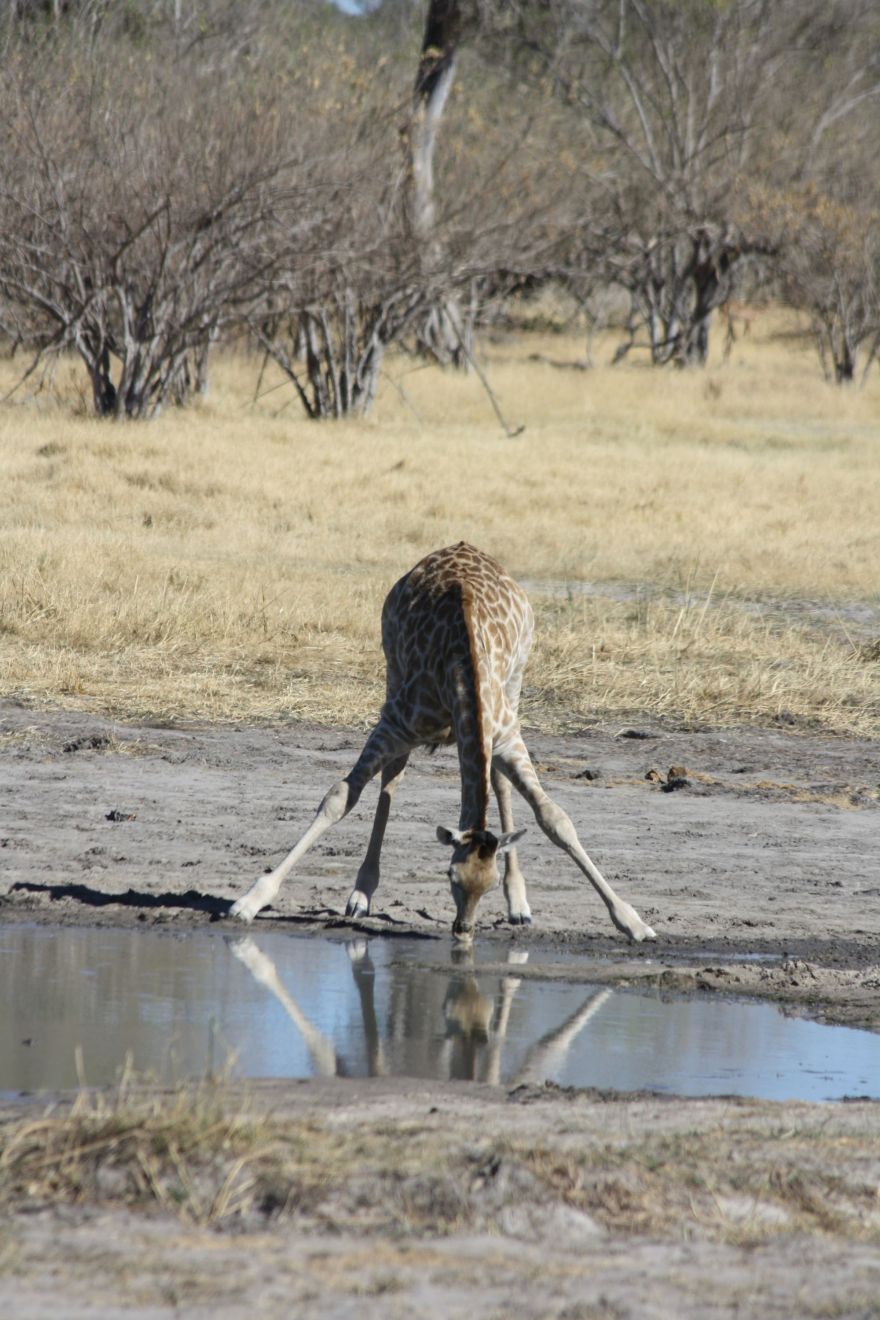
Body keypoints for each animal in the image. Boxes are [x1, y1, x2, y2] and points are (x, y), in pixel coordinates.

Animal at [230, 541, 657, 945]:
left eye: (488, 882)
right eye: (450, 876)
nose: (463, 930)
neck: (461, 671)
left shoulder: (506, 736)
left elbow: (555, 818)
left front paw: (633, 922)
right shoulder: (394, 724)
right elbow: (340, 797)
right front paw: (251, 899)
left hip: (517, 681)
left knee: (497, 783)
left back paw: (519, 905)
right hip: (391, 670)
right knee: (394, 774)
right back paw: (362, 893)